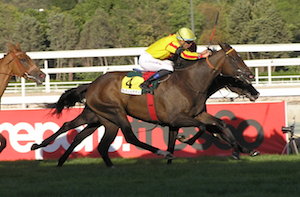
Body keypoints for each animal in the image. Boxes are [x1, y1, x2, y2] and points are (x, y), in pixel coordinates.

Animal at [32, 42, 258, 167]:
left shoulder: (196, 114)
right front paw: (186, 141)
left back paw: (55, 155)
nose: (252, 80)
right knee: (128, 137)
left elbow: (219, 124)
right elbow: (203, 128)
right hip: (115, 113)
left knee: (79, 132)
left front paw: (242, 150)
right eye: (236, 59)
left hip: (99, 117)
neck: (190, 82)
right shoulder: (177, 118)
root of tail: (92, 84)